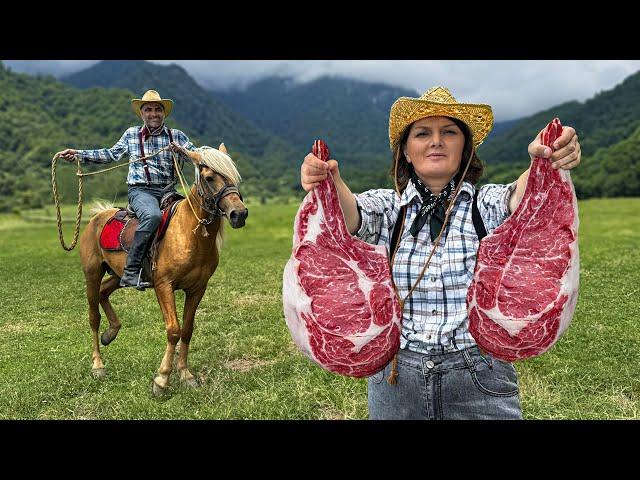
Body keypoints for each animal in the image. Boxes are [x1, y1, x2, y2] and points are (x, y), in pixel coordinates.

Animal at [78, 144, 248, 396]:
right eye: (209, 177)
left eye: (235, 177)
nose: (239, 214)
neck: (190, 234)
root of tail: (98, 216)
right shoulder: (164, 285)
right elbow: (173, 330)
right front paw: (162, 380)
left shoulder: (198, 288)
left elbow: (187, 330)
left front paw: (186, 374)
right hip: (92, 274)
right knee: (93, 316)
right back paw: (98, 365)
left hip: (119, 276)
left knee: (103, 292)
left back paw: (111, 332)